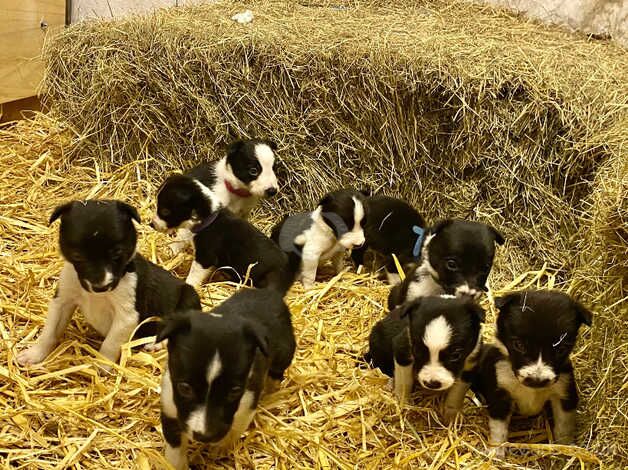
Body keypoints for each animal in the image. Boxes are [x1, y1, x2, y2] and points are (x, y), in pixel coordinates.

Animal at [17, 200, 200, 370]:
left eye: (117, 252)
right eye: (77, 256)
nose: (101, 287)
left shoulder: (126, 316)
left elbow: (110, 344)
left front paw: (102, 366)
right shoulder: (62, 301)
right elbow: (50, 332)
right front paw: (34, 354)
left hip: (188, 299)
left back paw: (156, 343)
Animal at [156, 288, 296, 468]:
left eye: (234, 391)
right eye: (184, 388)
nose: (205, 436)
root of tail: (270, 291)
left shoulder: (248, 404)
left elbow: (233, 431)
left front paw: (220, 450)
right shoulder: (169, 409)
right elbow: (175, 453)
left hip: (283, 355)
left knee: (276, 375)